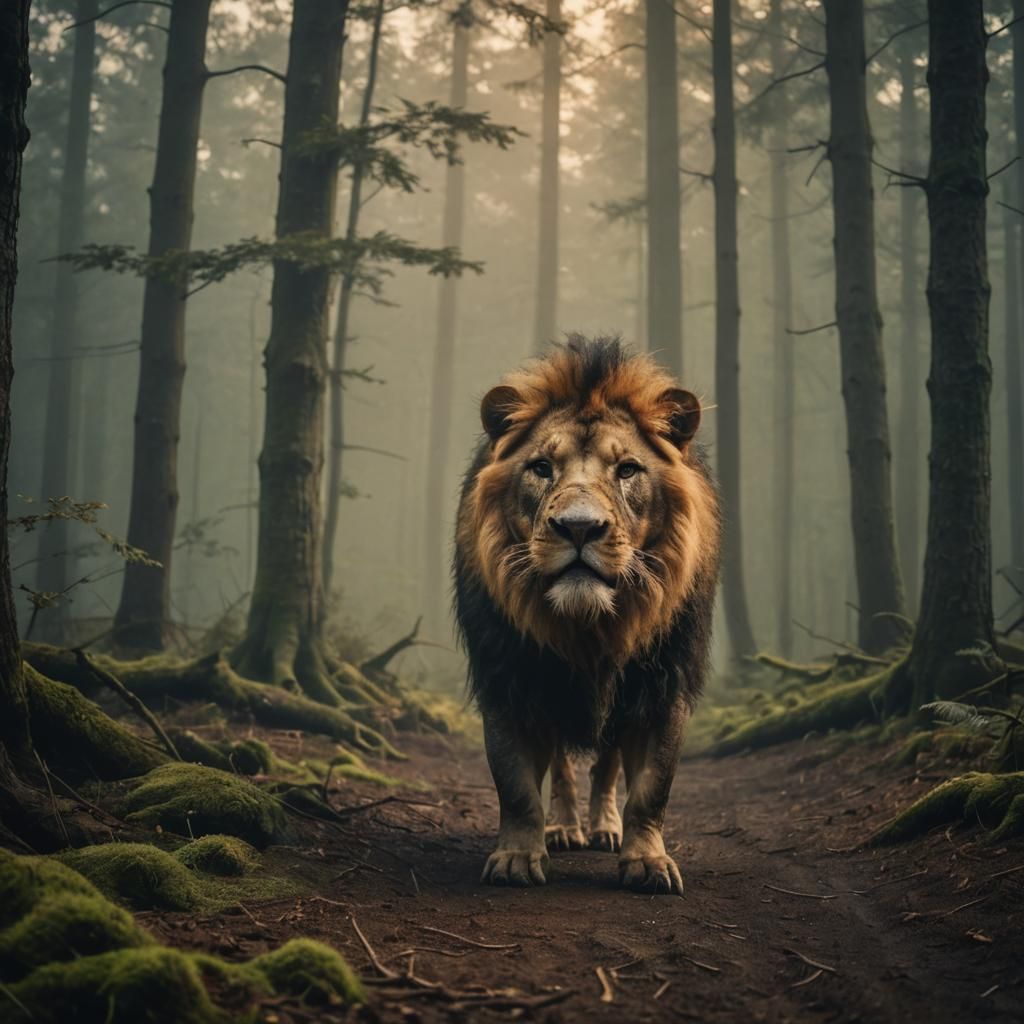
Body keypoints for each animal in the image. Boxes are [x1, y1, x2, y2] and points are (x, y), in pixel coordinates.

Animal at [453, 335, 720, 895]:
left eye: (627, 470)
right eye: (540, 467)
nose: (578, 527)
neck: (591, 629)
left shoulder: (663, 687)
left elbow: (652, 789)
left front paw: (647, 862)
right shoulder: (508, 681)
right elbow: (515, 785)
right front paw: (517, 857)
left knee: (607, 766)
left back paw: (604, 827)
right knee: (561, 768)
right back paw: (564, 828)